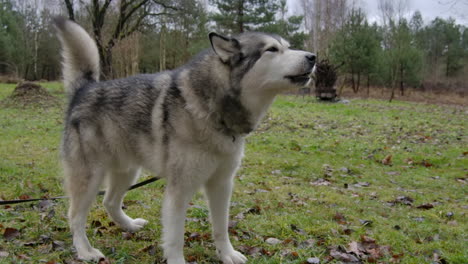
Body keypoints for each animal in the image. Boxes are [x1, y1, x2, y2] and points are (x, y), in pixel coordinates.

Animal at [54, 17, 316, 264]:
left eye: (287, 47)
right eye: (272, 49)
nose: (313, 56)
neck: (212, 111)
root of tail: (85, 89)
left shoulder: (222, 184)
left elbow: (221, 227)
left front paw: (227, 254)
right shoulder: (180, 189)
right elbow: (175, 237)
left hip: (128, 171)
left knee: (109, 201)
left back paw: (128, 225)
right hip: (90, 178)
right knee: (75, 216)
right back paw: (85, 251)